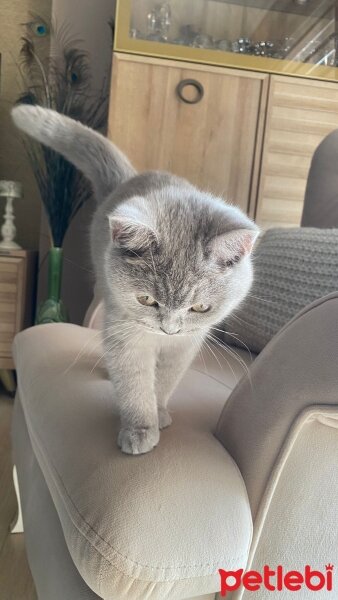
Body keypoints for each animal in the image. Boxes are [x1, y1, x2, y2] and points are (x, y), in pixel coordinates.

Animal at [11, 106, 258, 454]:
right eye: (147, 299)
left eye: (200, 308)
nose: (169, 329)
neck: (160, 340)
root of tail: (127, 178)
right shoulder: (126, 334)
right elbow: (134, 382)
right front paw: (140, 428)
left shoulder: (186, 345)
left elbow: (165, 379)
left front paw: (159, 410)